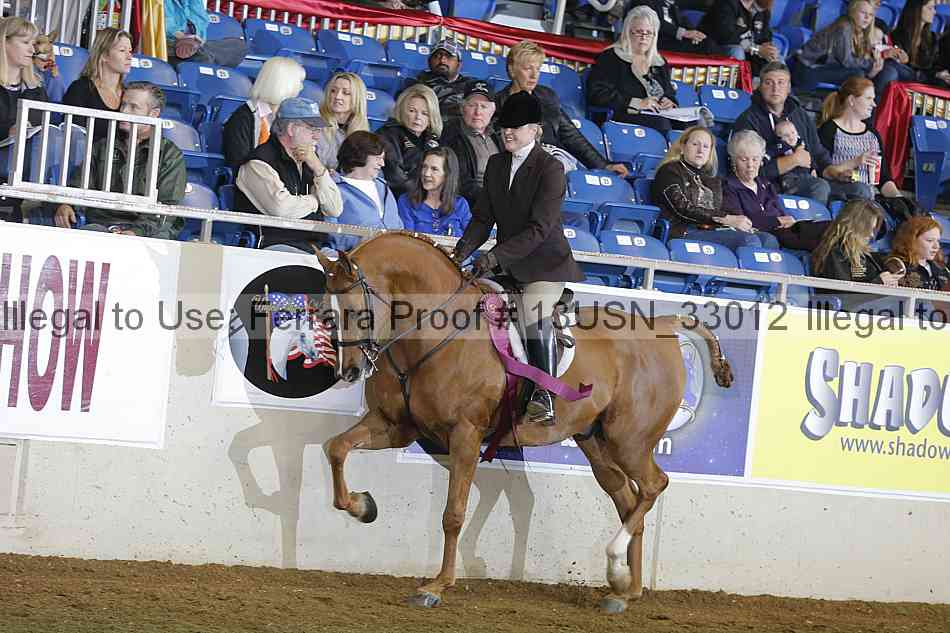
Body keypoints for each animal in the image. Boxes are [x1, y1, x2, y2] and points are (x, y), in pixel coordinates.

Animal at [316, 231, 733, 613]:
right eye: (324, 312)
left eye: (356, 312)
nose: (349, 372)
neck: (432, 333)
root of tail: (661, 324)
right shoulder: (395, 426)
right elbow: (335, 447)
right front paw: (361, 506)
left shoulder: (465, 435)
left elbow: (453, 514)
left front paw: (437, 586)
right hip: (597, 444)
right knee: (629, 501)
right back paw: (623, 589)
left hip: (629, 441)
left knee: (653, 485)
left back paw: (616, 563)